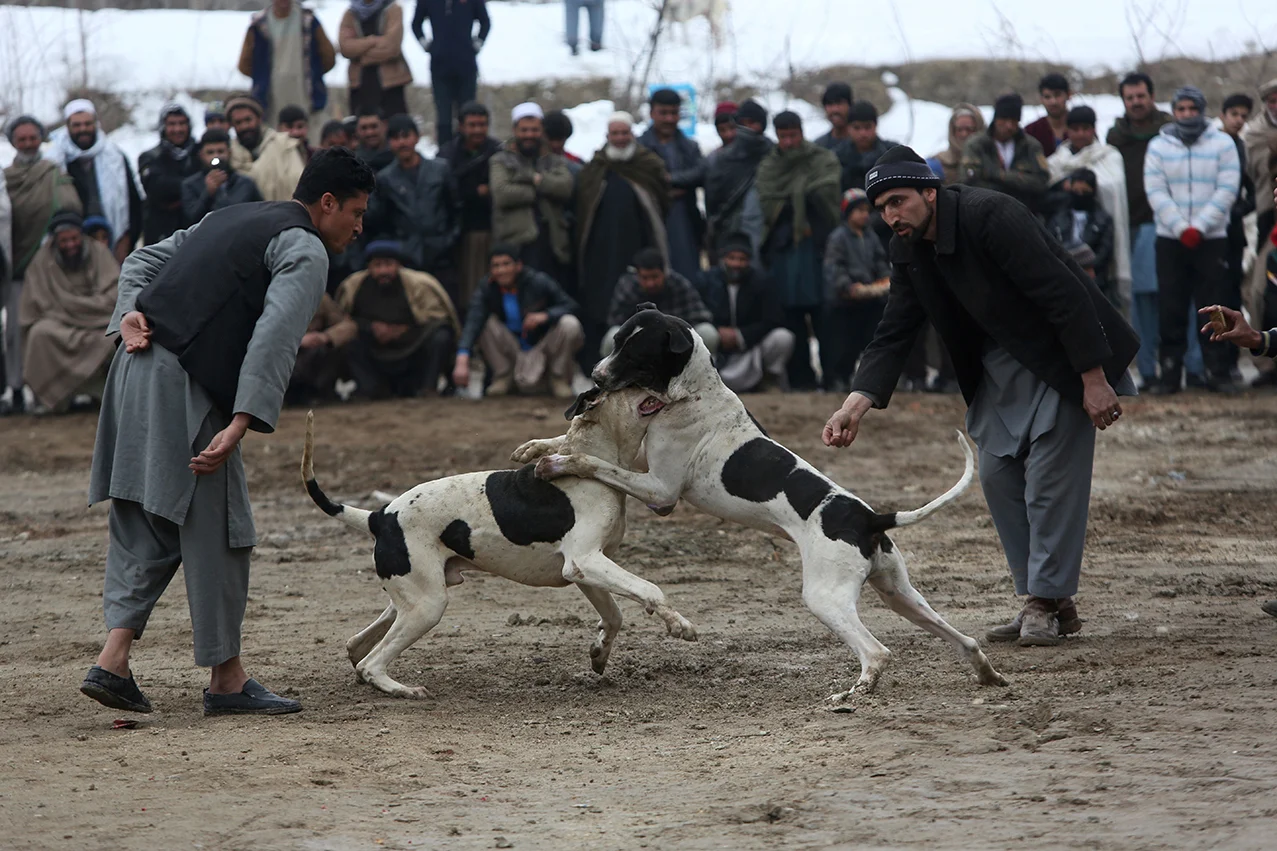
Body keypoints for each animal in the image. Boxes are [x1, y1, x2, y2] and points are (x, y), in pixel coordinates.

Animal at [301, 388, 699, 700]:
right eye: (632, 384)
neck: (588, 466)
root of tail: (379, 516)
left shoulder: (586, 570)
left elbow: (614, 616)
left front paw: (600, 653)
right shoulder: (585, 561)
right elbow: (650, 589)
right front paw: (680, 625)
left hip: (414, 595)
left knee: (360, 644)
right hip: (429, 606)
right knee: (372, 663)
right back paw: (401, 689)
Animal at [526, 305, 1006, 695]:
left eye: (635, 352)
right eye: (616, 341)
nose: (595, 376)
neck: (691, 393)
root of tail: (869, 518)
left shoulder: (660, 492)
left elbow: (592, 461)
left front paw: (557, 463)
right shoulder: (645, 466)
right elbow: (569, 444)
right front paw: (535, 447)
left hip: (826, 597)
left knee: (877, 652)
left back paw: (854, 694)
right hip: (900, 595)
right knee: (964, 640)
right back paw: (988, 675)